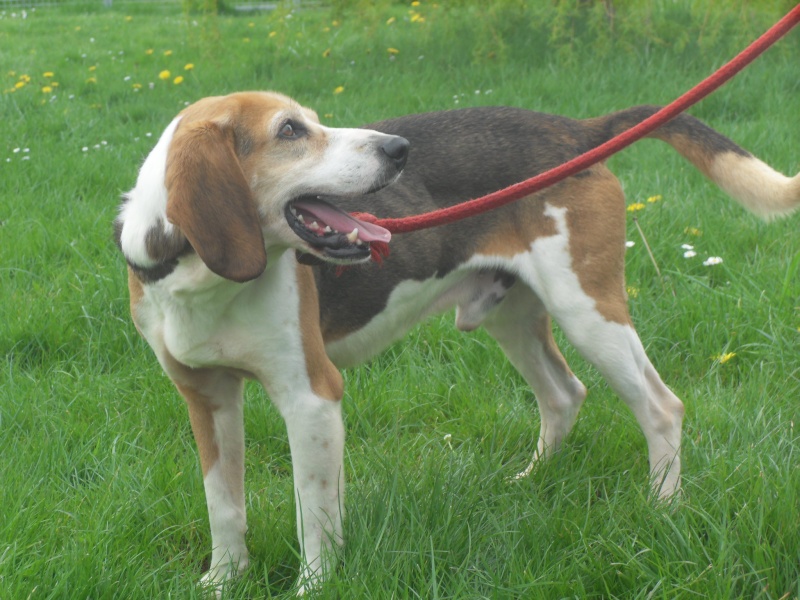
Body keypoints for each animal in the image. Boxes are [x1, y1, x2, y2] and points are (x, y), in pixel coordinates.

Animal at [115, 91, 796, 592]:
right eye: (289, 131)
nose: (398, 150)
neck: (197, 275)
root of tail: (577, 131)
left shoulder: (311, 398)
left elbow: (316, 514)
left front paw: (313, 586)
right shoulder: (207, 399)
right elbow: (224, 505)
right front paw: (224, 581)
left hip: (588, 311)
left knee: (660, 407)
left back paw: (663, 507)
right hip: (512, 316)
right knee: (563, 394)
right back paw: (531, 480)